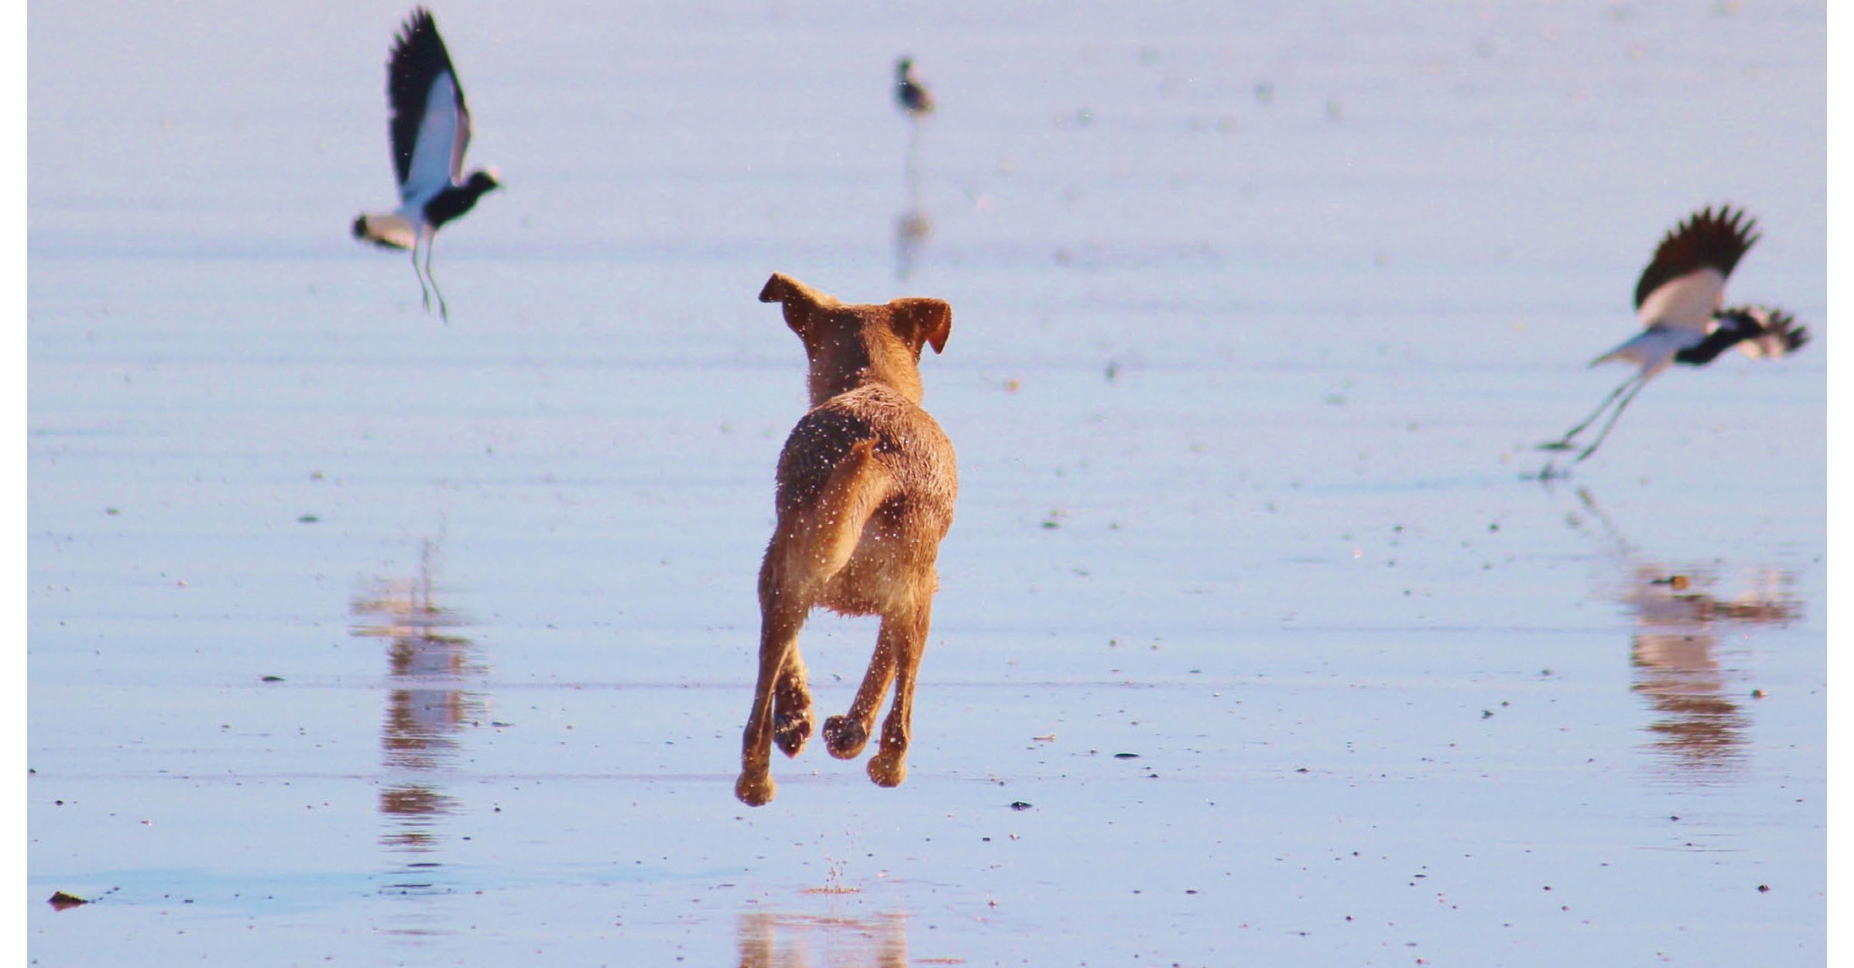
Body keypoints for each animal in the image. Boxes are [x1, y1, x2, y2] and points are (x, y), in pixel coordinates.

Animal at [737, 272, 964, 804]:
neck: (871, 383)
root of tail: (881, 460)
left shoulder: (779, 570)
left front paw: (806, 721)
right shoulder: (916, 590)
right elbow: (881, 669)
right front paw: (841, 730)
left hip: (795, 573)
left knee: (760, 711)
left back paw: (761, 774)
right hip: (910, 596)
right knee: (900, 717)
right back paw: (879, 762)